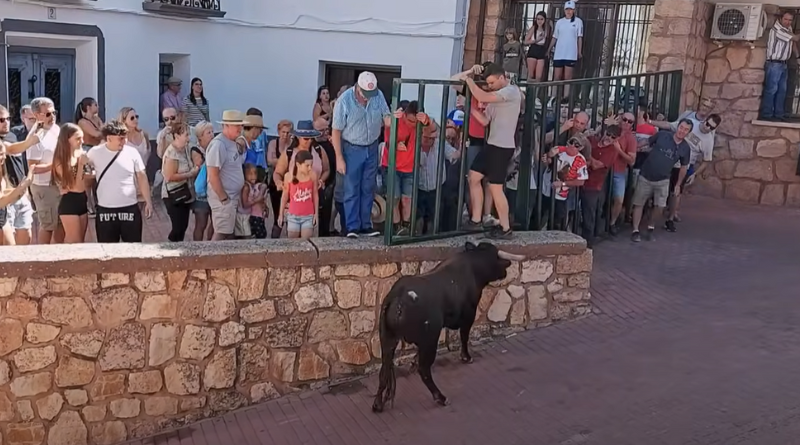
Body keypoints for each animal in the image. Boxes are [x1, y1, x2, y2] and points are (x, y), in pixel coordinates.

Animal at [374, 241, 528, 412]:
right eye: (495, 257)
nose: (505, 271)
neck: (472, 266)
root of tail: (398, 296)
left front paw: (413, 361)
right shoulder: (468, 315)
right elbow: (464, 336)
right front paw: (466, 357)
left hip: (387, 340)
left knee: (384, 370)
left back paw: (378, 404)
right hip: (429, 340)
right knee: (424, 369)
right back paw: (441, 397)